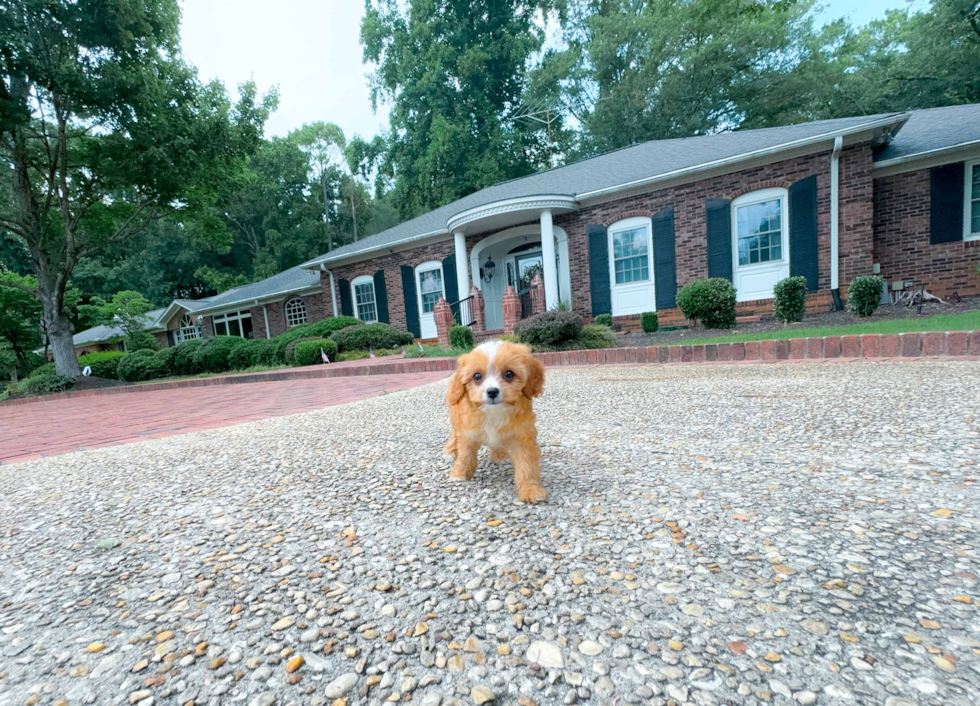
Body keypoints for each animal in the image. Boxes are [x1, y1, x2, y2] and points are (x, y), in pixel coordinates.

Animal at [446, 340, 548, 500]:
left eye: (509, 373)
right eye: (477, 376)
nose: (492, 391)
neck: (494, 413)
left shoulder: (523, 436)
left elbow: (527, 465)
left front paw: (531, 490)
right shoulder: (467, 433)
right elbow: (465, 455)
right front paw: (459, 474)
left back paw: (499, 455)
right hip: (456, 420)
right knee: (454, 436)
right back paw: (450, 451)